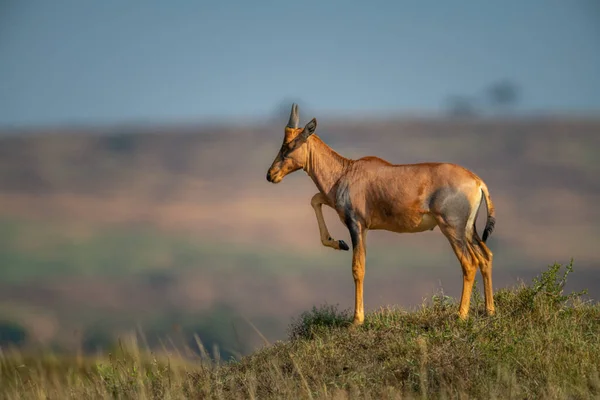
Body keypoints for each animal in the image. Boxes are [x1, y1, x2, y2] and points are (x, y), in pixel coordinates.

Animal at [268, 104, 496, 324]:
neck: (347, 171)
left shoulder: (356, 224)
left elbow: (357, 268)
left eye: (289, 145)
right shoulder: (361, 225)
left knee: (469, 263)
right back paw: (489, 310)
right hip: (469, 230)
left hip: (452, 228)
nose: (271, 175)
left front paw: (357, 320)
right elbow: (315, 199)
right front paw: (339, 243)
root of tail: (477, 182)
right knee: (485, 257)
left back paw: (461, 315)